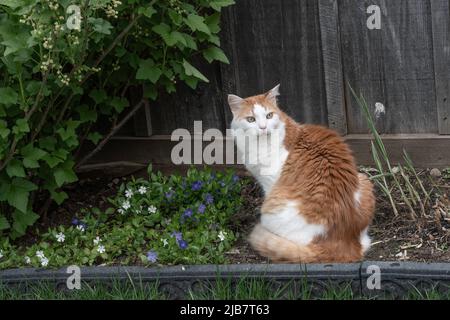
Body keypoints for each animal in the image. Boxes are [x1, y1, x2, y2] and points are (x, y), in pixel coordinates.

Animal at [227, 84, 374, 262]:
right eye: (251, 119)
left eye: (269, 116)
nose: (263, 128)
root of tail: (344, 244)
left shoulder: (270, 183)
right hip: (364, 180)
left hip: (271, 209)